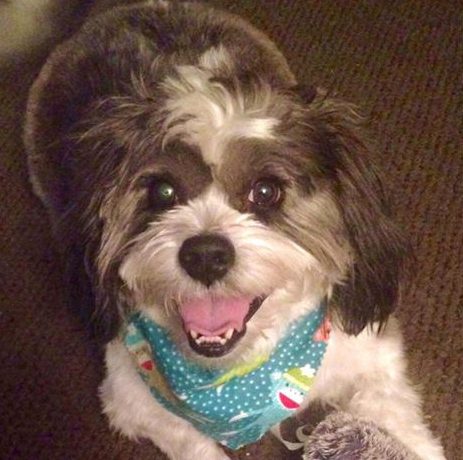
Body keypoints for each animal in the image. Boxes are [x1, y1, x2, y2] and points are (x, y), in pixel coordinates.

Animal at [23, 1, 448, 458]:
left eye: (266, 191)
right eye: (162, 191)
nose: (205, 255)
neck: (238, 375)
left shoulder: (371, 360)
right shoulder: (130, 394)